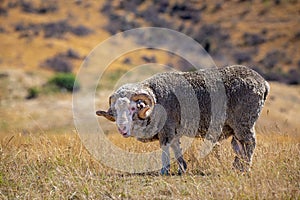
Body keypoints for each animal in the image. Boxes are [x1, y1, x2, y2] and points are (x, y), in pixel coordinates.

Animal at [96, 65, 270, 175]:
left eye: (133, 108)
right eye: (115, 111)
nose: (122, 129)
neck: (157, 100)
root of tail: (263, 83)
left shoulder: (166, 129)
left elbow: (165, 149)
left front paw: (164, 171)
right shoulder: (174, 131)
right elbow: (176, 148)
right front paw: (182, 168)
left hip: (244, 122)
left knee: (250, 143)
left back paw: (246, 169)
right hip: (236, 127)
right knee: (239, 146)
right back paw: (237, 168)